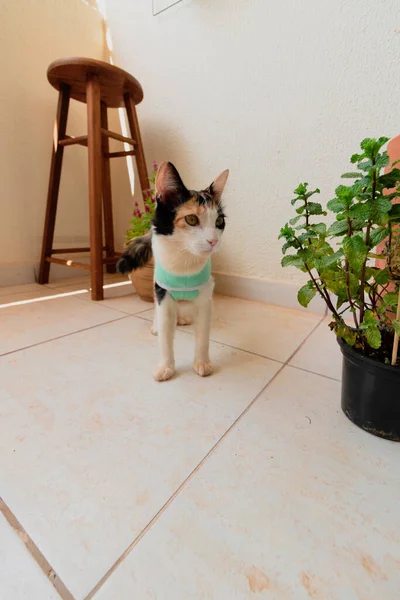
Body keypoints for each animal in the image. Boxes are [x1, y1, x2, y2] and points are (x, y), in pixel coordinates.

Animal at [117, 162, 230, 382]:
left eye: (219, 221)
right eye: (192, 219)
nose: (213, 241)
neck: (185, 260)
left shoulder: (205, 297)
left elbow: (203, 335)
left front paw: (202, 363)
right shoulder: (163, 292)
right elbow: (166, 337)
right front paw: (165, 367)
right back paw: (157, 324)